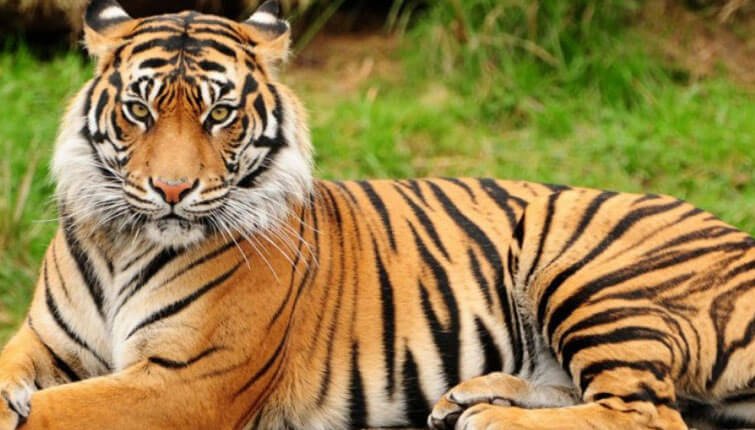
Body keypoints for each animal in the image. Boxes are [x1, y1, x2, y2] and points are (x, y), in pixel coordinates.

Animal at [0, 0, 753, 429]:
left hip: (585, 271)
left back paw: (489, 420)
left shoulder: (187, 380)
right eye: (139, 110)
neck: (122, 239)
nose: (172, 190)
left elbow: (50, 413)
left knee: (647, 413)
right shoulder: (43, 343)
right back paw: (471, 398)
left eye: (219, 115)